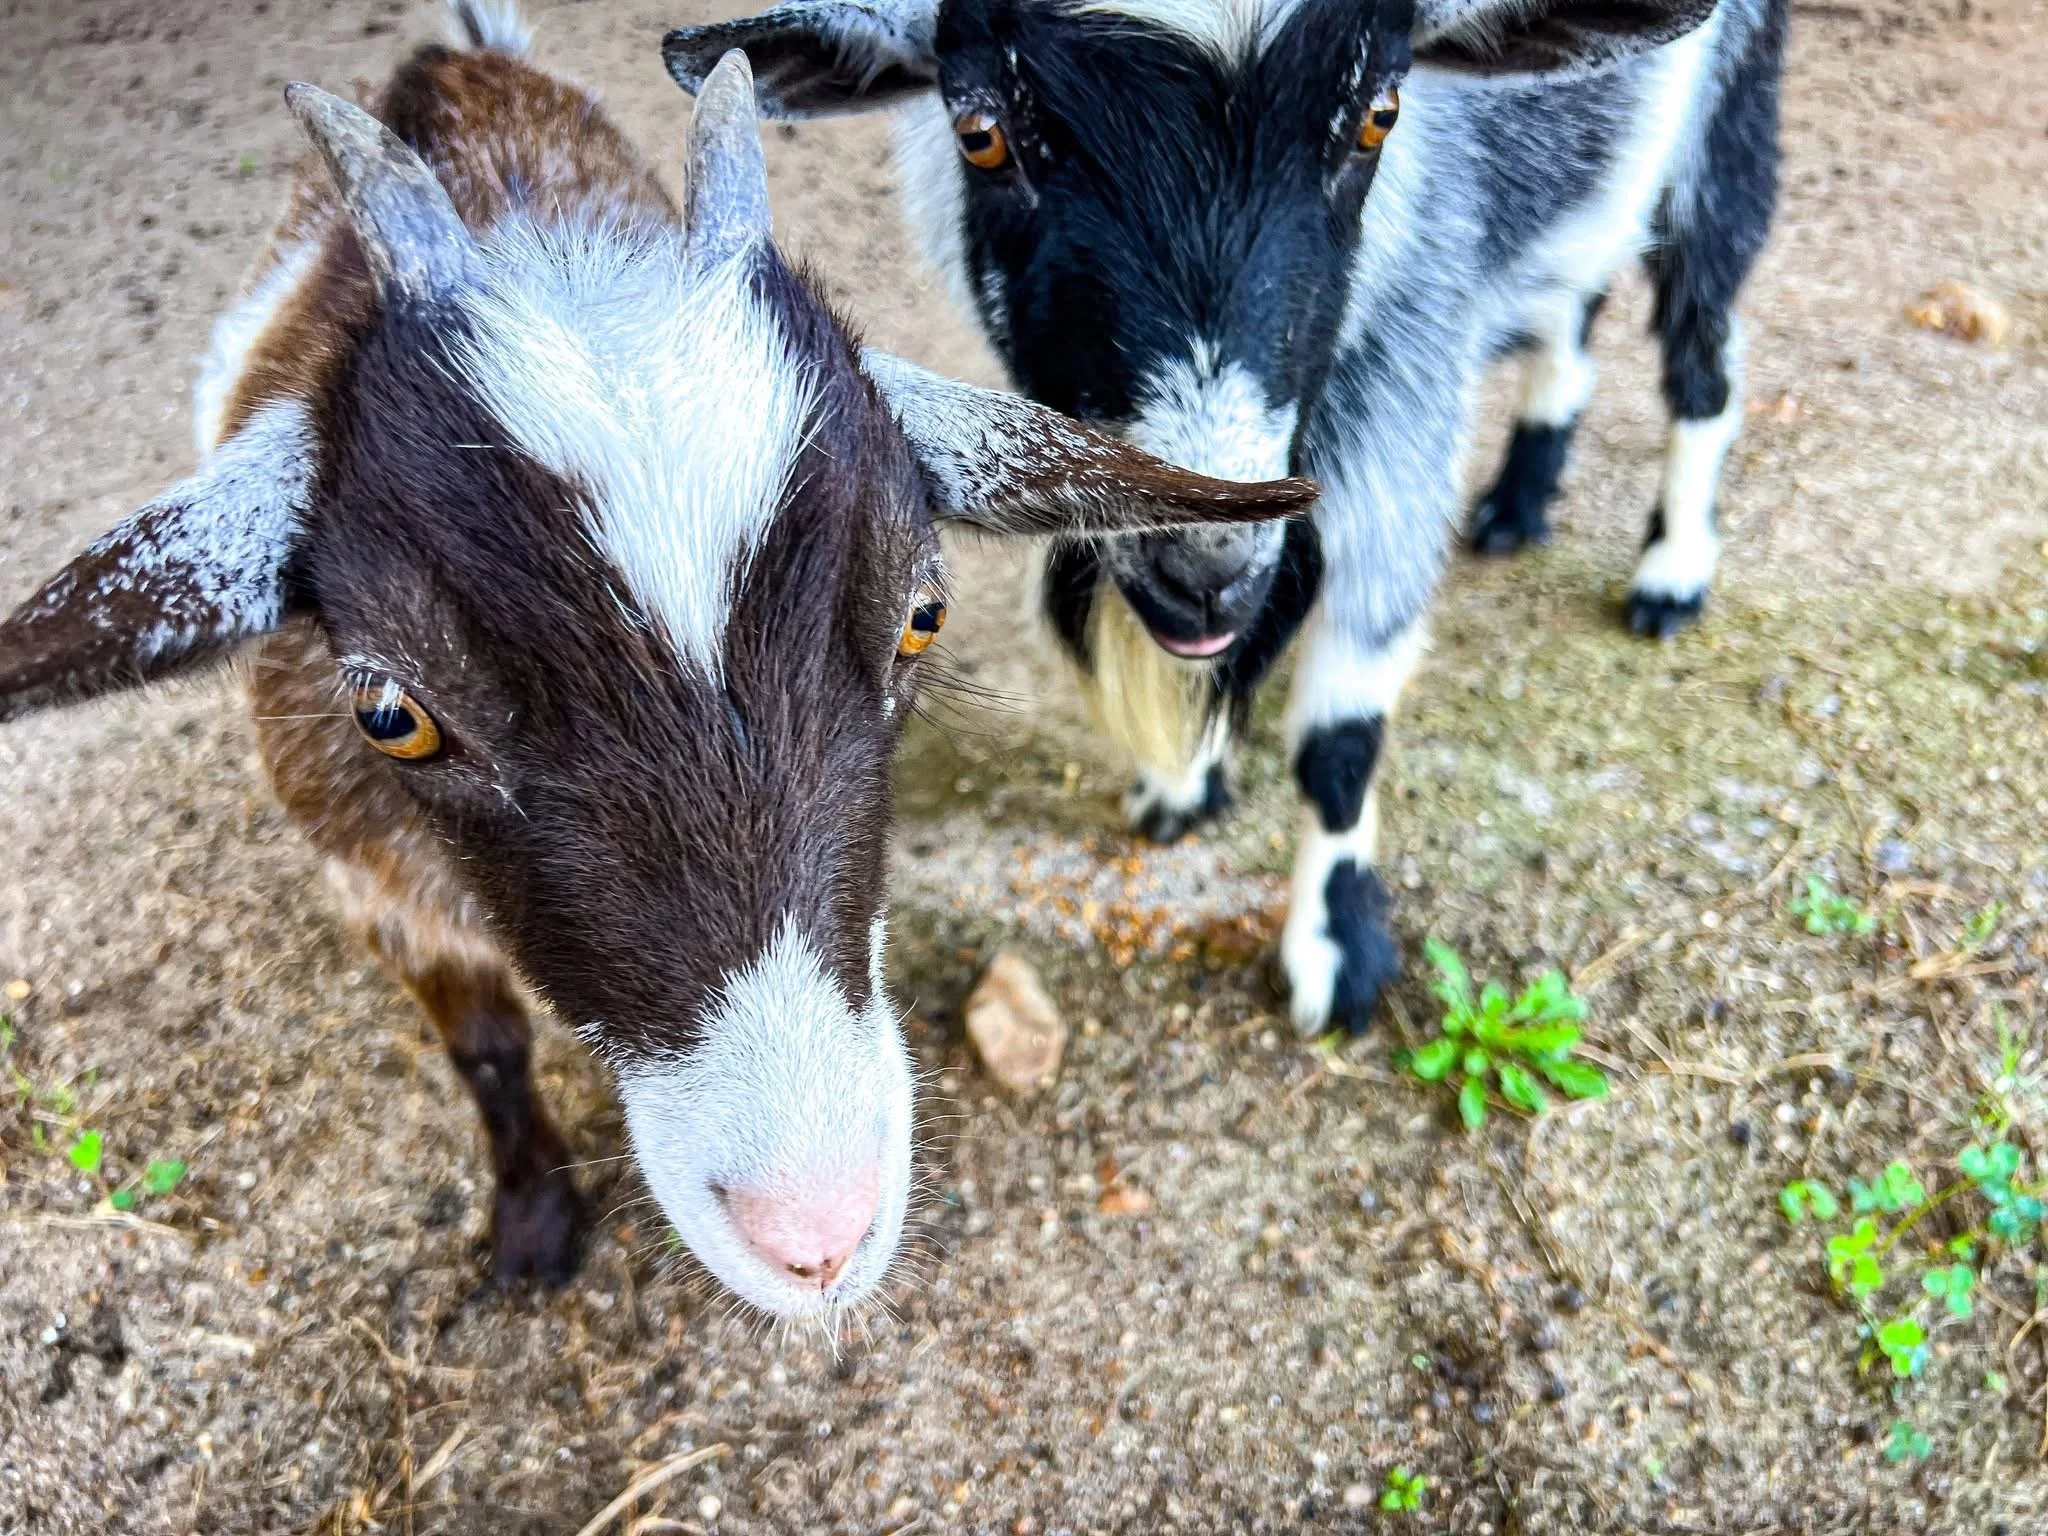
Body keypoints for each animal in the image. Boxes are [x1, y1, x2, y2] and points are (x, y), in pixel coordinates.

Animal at [0, 2, 1310, 1315]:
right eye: (390, 714)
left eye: (921, 617)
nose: (816, 1236)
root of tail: (453, 60)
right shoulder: (369, 876)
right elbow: (483, 1046)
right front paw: (531, 1224)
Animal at [664, 0, 1787, 1033]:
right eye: (979, 134)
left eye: (1378, 114)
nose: (1202, 573)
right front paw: (1183, 789)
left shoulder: (1404, 386)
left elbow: (1339, 737)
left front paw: (1335, 953)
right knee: (1574, 304)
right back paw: (1518, 499)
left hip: (1726, 128)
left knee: (1702, 352)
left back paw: (1670, 573)